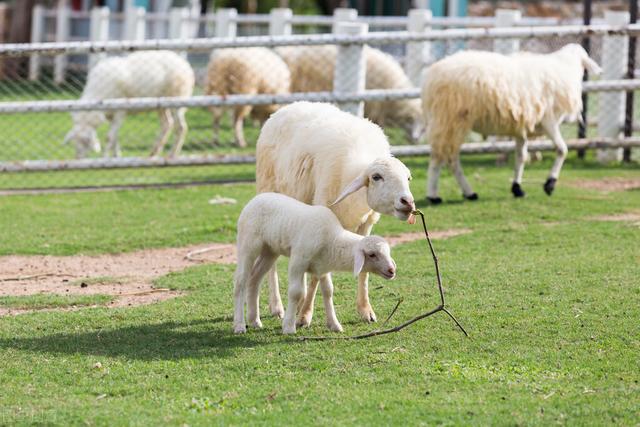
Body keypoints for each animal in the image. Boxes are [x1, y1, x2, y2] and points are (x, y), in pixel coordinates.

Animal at [65, 50, 196, 160]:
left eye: (86, 142)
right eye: (74, 142)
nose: (78, 159)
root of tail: (183, 63)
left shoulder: (120, 112)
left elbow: (109, 137)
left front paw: (105, 158)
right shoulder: (110, 115)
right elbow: (115, 137)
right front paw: (116, 156)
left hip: (177, 100)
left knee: (181, 127)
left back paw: (172, 154)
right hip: (161, 105)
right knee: (167, 124)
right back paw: (153, 153)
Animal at [234, 192, 396, 336]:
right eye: (372, 254)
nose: (392, 270)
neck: (332, 240)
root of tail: (255, 199)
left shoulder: (323, 267)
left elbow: (328, 291)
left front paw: (334, 325)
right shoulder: (298, 260)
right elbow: (296, 293)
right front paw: (288, 327)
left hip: (270, 250)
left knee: (254, 279)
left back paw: (254, 321)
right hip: (248, 243)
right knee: (240, 282)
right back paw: (239, 325)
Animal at [255, 103, 416, 328]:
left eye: (408, 178)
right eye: (376, 177)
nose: (407, 202)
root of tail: (289, 106)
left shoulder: (366, 223)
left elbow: (363, 270)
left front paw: (366, 311)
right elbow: (318, 276)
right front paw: (304, 316)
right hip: (268, 193)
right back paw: (277, 306)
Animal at [422, 43, 604, 204]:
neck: (565, 67)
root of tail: (432, 77)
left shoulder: (520, 126)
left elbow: (521, 157)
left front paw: (517, 188)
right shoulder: (548, 121)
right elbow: (562, 149)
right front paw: (549, 184)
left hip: (448, 121)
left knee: (448, 158)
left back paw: (467, 193)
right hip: (452, 119)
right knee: (443, 158)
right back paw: (435, 196)